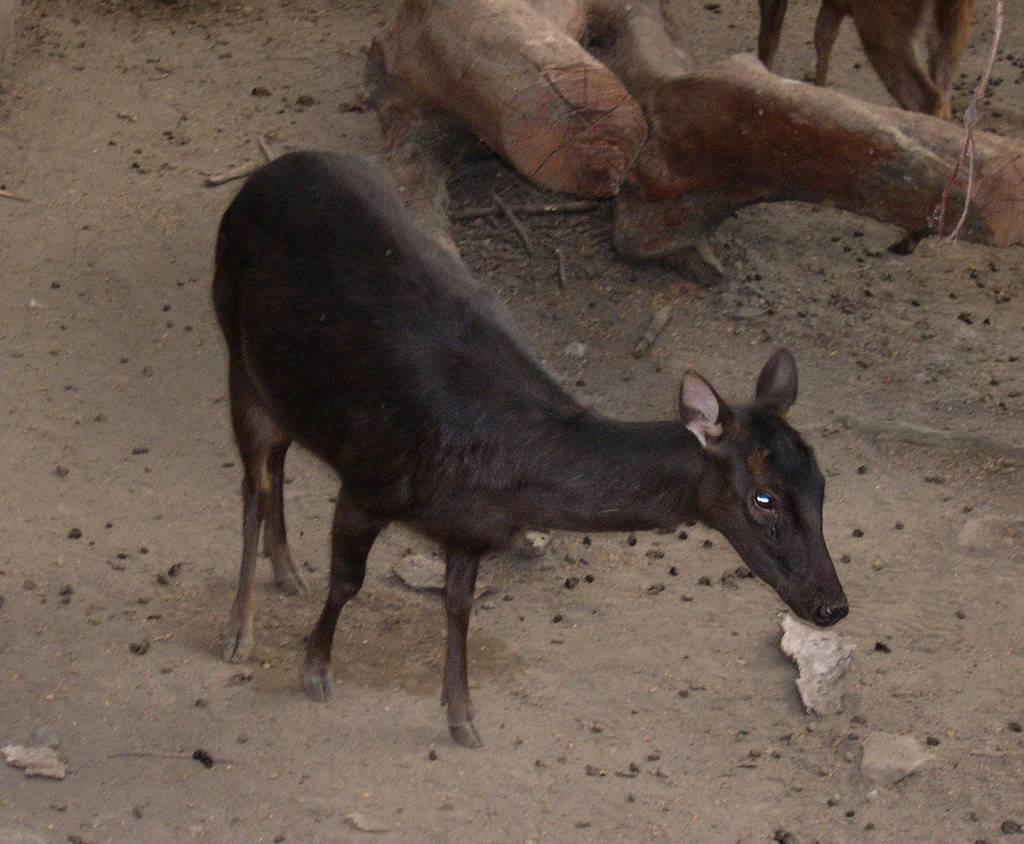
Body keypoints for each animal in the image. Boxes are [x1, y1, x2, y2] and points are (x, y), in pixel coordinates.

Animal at [209, 149, 847, 745]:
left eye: (823, 485)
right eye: (763, 498)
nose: (833, 606)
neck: (495, 471)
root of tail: (263, 174)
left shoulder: (468, 529)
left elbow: (459, 605)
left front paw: (462, 717)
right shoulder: (368, 478)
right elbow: (348, 581)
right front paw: (315, 672)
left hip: (285, 385)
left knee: (279, 458)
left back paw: (287, 571)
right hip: (235, 350)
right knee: (253, 482)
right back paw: (239, 630)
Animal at [761, 0, 974, 119]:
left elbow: (769, 36)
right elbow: (824, 34)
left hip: (880, 23)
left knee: (927, 99)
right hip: (954, 19)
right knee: (943, 91)